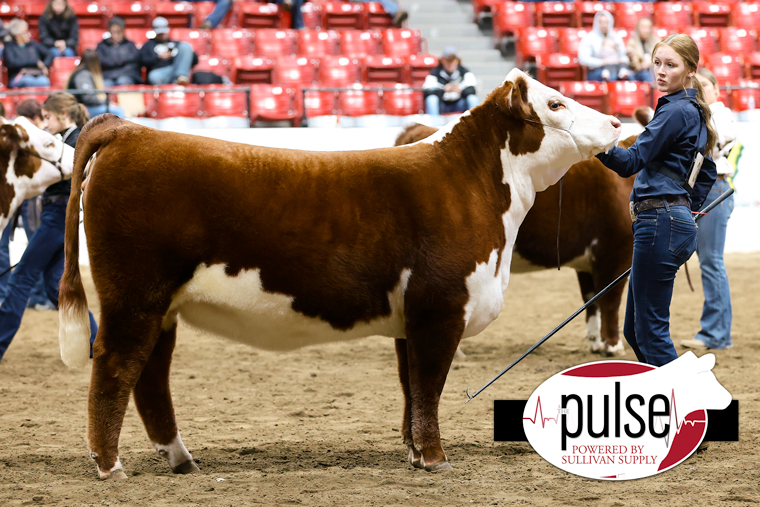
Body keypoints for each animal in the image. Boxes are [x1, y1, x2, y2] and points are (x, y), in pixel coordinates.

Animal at [58, 69, 616, 478]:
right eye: (555, 104)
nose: (613, 122)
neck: (475, 185)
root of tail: (129, 130)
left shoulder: (412, 317)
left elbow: (411, 386)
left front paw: (414, 453)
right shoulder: (440, 308)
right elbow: (429, 386)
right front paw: (436, 460)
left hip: (161, 305)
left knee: (150, 376)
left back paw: (180, 459)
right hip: (135, 295)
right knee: (116, 366)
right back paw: (110, 466)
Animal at [394, 123, 644, 358]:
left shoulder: (587, 260)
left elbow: (591, 299)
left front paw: (596, 342)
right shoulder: (614, 251)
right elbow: (610, 301)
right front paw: (613, 346)